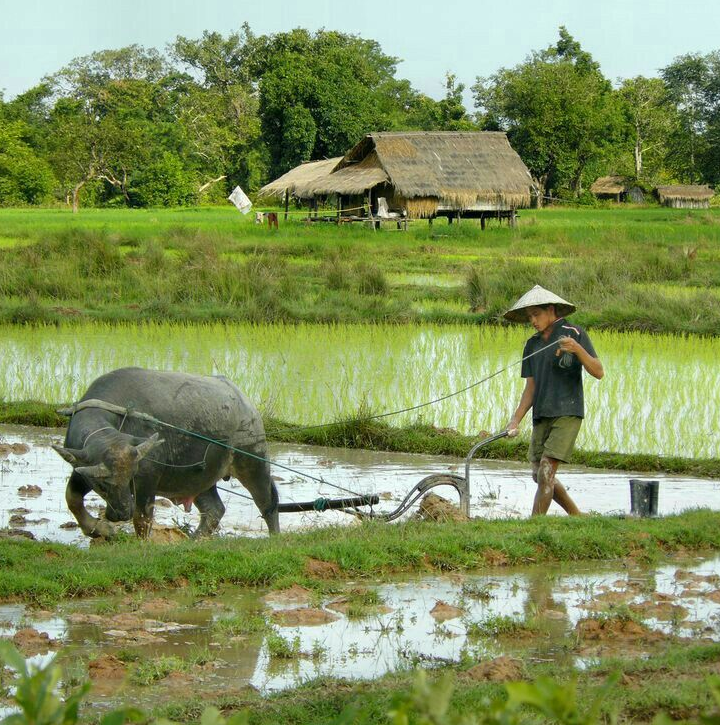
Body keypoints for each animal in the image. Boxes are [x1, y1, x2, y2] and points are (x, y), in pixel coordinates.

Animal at [50, 368, 280, 536]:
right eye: (101, 484)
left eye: (131, 476)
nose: (122, 513)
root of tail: (246, 404)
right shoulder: (81, 469)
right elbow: (72, 498)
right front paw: (99, 530)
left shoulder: (147, 478)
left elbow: (142, 519)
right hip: (197, 478)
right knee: (214, 509)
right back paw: (195, 539)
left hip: (253, 462)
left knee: (268, 502)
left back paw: (274, 537)